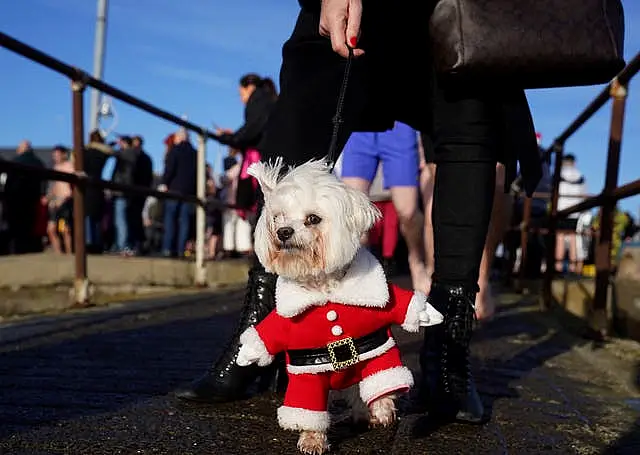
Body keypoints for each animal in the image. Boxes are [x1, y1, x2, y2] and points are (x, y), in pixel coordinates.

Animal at [238, 159, 442, 454]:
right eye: (278, 218)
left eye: (313, 219)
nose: (283, 232)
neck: (326, 290)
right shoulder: (304, 371)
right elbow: (307, 409)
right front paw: (312, 440)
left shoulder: (380, 347)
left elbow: (386, 380)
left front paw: (382, 410)